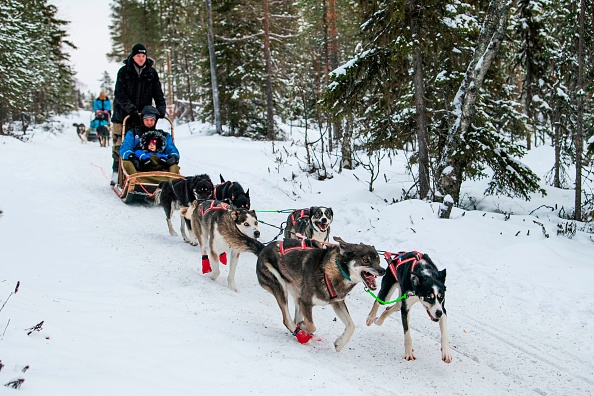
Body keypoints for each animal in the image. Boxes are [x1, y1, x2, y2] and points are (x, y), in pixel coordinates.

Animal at [254, 237, 384, 352]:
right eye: (366, 260)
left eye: (378, 260)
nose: (383, 270)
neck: (331, 271)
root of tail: (263, 248)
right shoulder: (306, 302)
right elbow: (312, 326)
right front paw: (303, 327)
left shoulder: (337, 302)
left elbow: (351, 325)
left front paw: (340, 343)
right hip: (280, 287)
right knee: (287, 320)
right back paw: (299, 332)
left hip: (297, 296)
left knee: (295, 319)